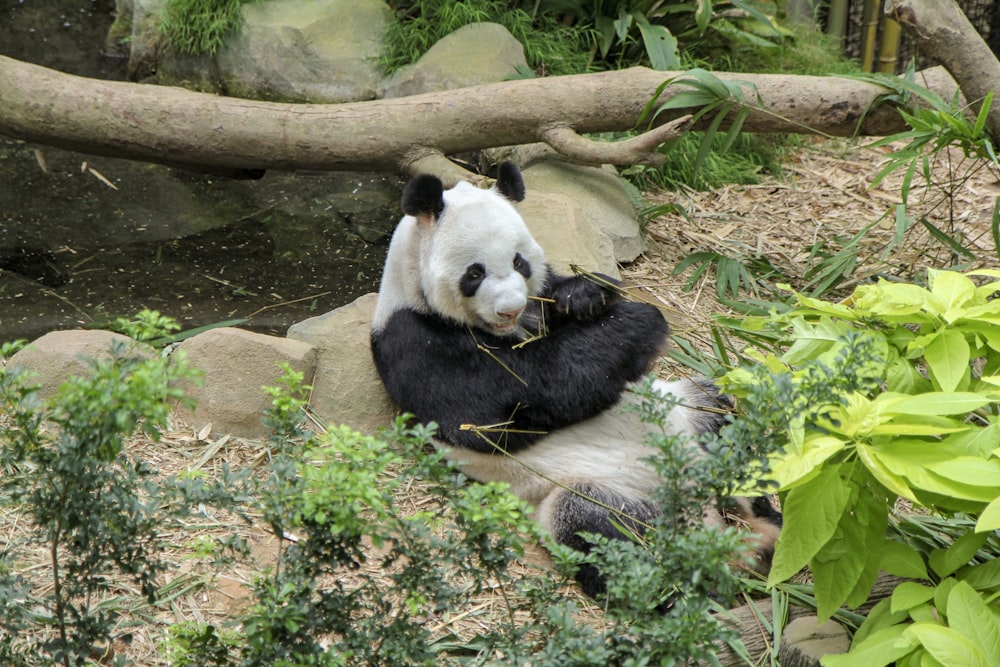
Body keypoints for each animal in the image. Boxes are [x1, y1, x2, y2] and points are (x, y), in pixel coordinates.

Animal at [370, 163, 780, 600]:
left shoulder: (541, 297)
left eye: (520, 262)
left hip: (689, 416)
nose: (510, 309)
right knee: (599, 529)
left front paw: (584, 295)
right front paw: (638, 324)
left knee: (720, 418)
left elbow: (566, 295)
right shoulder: (413, 341)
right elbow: (502, 407)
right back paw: (679, 589)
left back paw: (763, 519)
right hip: (603, 493)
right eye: (475, 272)